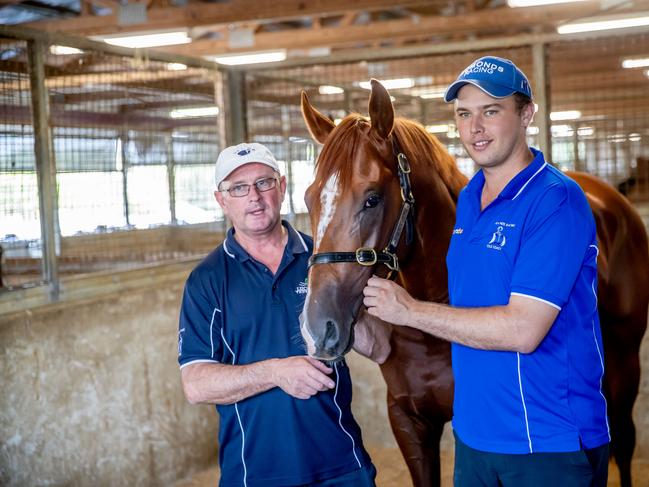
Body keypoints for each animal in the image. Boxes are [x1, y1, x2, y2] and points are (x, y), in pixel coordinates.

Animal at [300, 81, 648, 487]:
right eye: (308, 198)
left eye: (372, 198)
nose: (317, 329)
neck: (428, 330)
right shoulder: (408, 420)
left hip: (625, 367)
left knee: (622, 442)